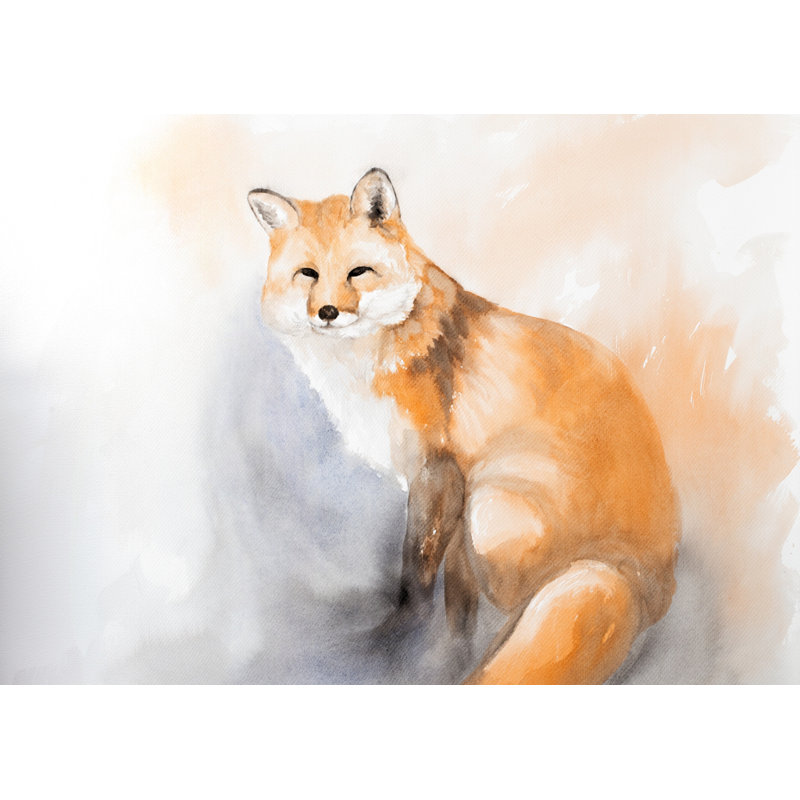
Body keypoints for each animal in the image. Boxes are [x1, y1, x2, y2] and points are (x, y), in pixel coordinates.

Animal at [248, 168, 680, 684]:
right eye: (308, 275)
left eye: (358, 272)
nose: (328, 312)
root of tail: (642, 580)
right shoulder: (448, 487)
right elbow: (452, 586)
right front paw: (448, 641)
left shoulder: (437, 470)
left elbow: (415, 572)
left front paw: (397, 637)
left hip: (491, 508)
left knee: (521, 604)